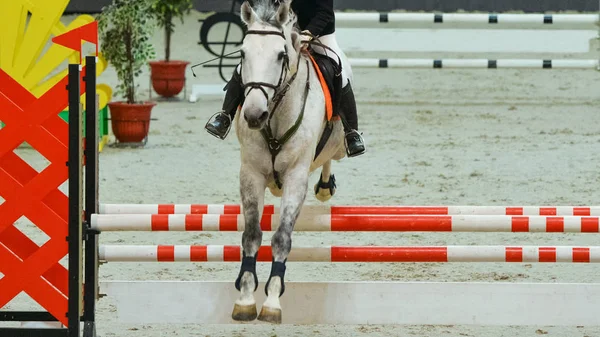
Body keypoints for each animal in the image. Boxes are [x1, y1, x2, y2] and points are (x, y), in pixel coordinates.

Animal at [232, 0, 350, 322]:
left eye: (280, 55)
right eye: (243, 54)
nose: (254, 115)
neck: (274, 116)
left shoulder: (296, 177)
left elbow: (282, 237)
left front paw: (272, 301)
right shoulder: (250, 174)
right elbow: (251, 235)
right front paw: (246, 298)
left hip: (338, 146)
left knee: (330, 157)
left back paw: (325, 186)